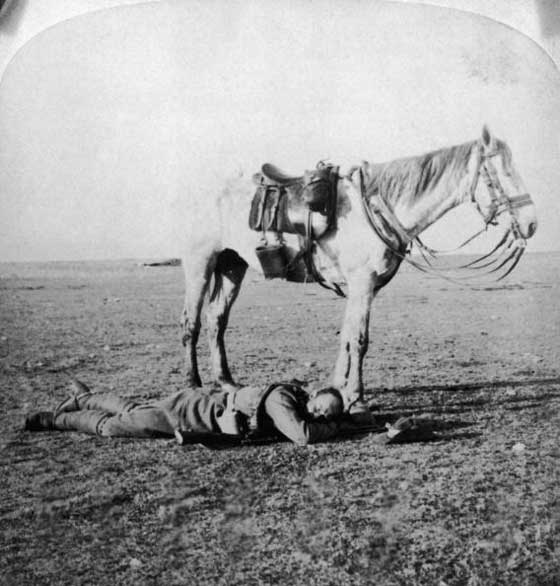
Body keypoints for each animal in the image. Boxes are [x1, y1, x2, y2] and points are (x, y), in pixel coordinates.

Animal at [179, 125, 540, 412]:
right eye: (503, 172)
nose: (531, 223)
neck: (381, 207)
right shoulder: (363, 282)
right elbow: (360, 339)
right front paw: (356, 397)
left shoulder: (363, 287)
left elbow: (348, 337)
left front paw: (337, 388)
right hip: (200, 263)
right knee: (190, 322)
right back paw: (193, 384)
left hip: (232, 265)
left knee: (216, 319)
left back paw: (227, 382)